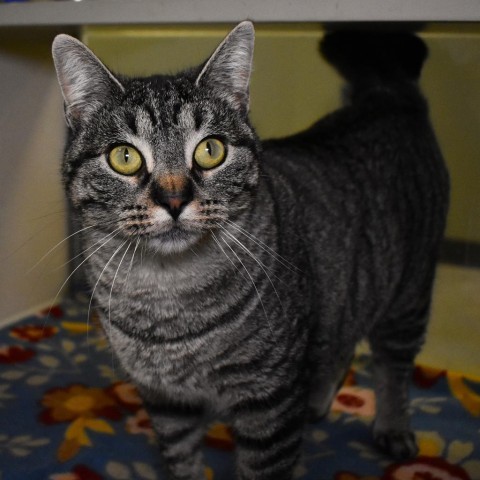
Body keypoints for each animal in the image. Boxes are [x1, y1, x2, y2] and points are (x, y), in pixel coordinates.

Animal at [52, 21, 450, 480]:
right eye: (124, 157)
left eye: (211, 150)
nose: (174, 199)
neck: (166, 298)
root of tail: (388, 93)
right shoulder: (166, 401)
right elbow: (181, 460)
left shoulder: (269, 405)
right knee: (344, 342)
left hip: (408, 296)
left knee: (393, 369)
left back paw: (392, 426)